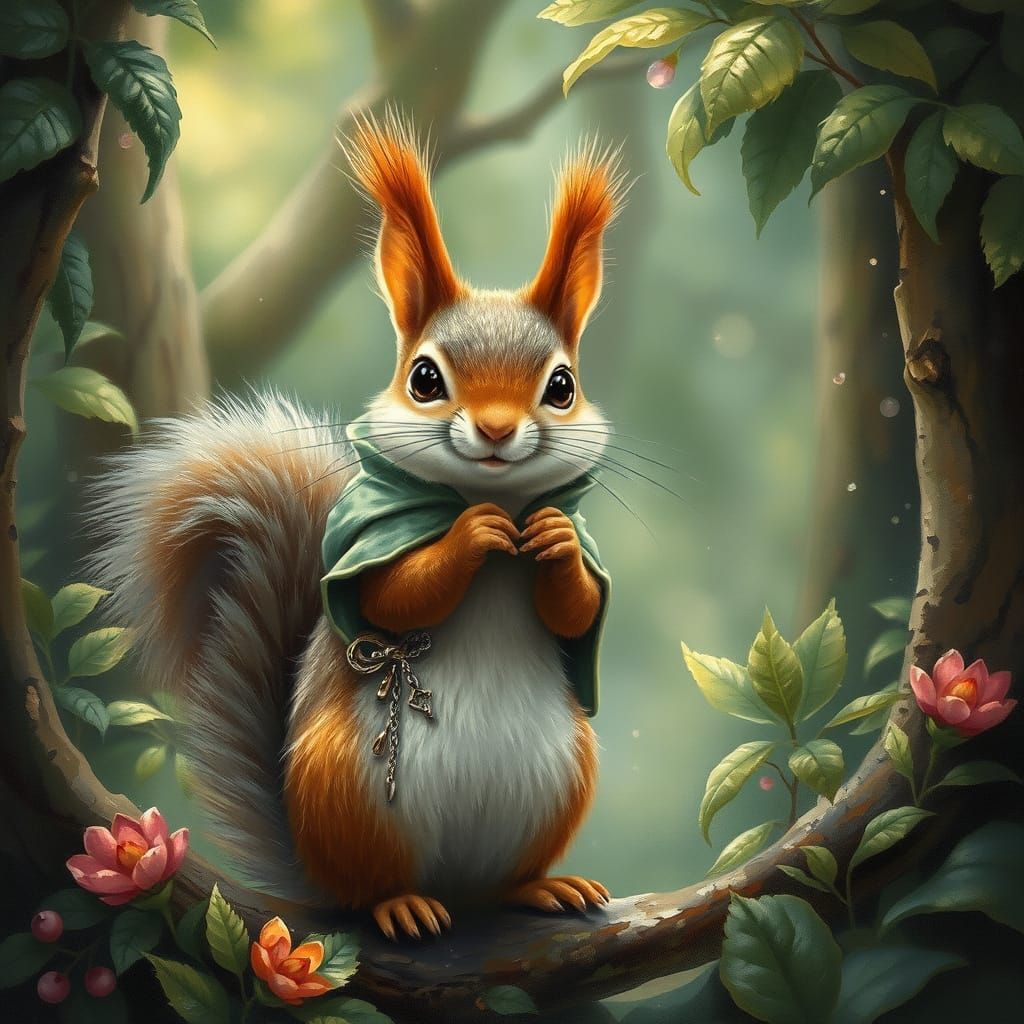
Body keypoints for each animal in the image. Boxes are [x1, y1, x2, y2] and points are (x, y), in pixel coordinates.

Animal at [89, 114, 624, 940]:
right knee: (370, 888)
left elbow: (577, 610)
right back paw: (399, 905)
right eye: (425, 379)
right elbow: (393, 596)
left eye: (561, 386)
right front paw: (470, 535)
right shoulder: (371, 548)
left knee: (501, 882)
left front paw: (556, 546)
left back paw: (541, 887)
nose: (498, 431)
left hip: (559, 781)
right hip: (351, 794)